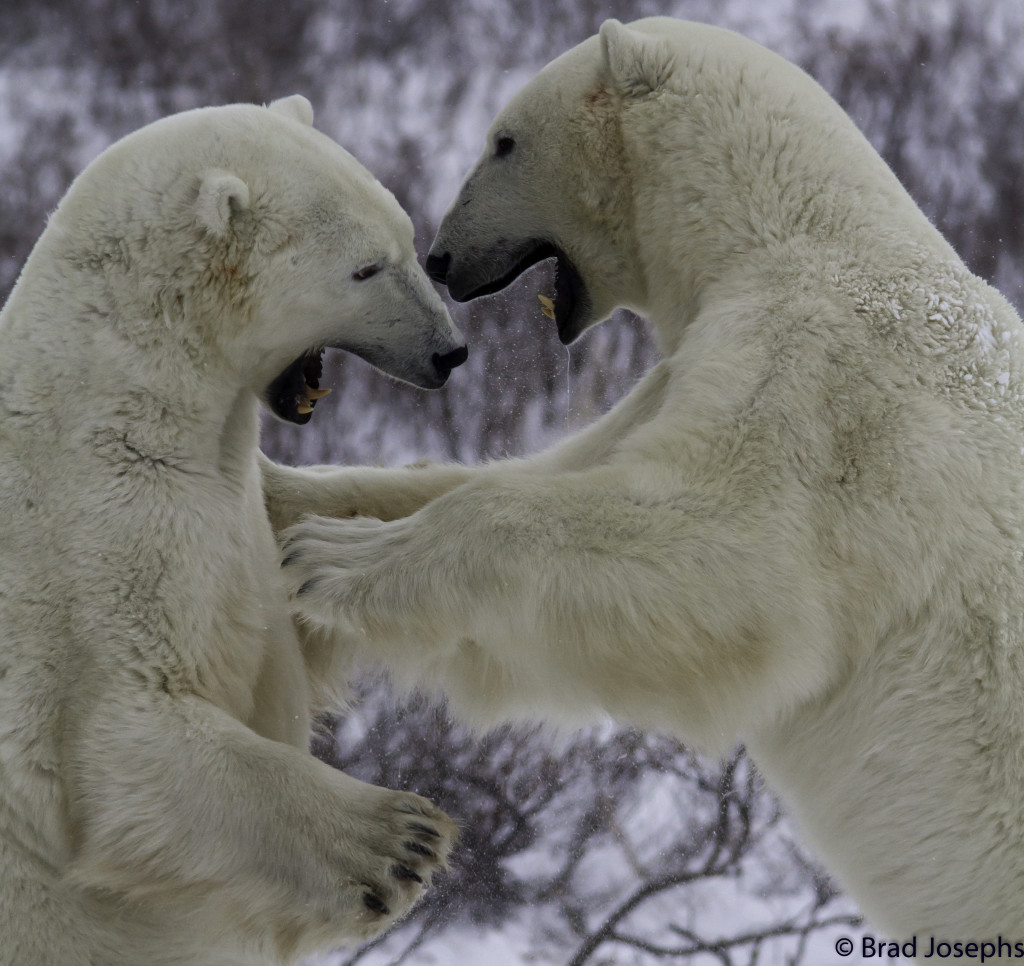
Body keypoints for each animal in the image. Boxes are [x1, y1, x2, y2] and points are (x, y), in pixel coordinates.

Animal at [0, 95, 463, 966]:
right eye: (364, 268)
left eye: (409, 238)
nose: (451, 351)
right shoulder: (97, 538)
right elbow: (120, 736)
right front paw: (400, 840)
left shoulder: (241, 493)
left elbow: (310, 527)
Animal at [273, 18, 1024, 949]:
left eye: (503, 141)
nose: (445, 259)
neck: (798, 230)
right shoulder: (684, 368)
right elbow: (547, 472)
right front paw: (284, 502)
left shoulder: (817, 378)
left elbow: (723, 551)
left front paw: (329, 559)